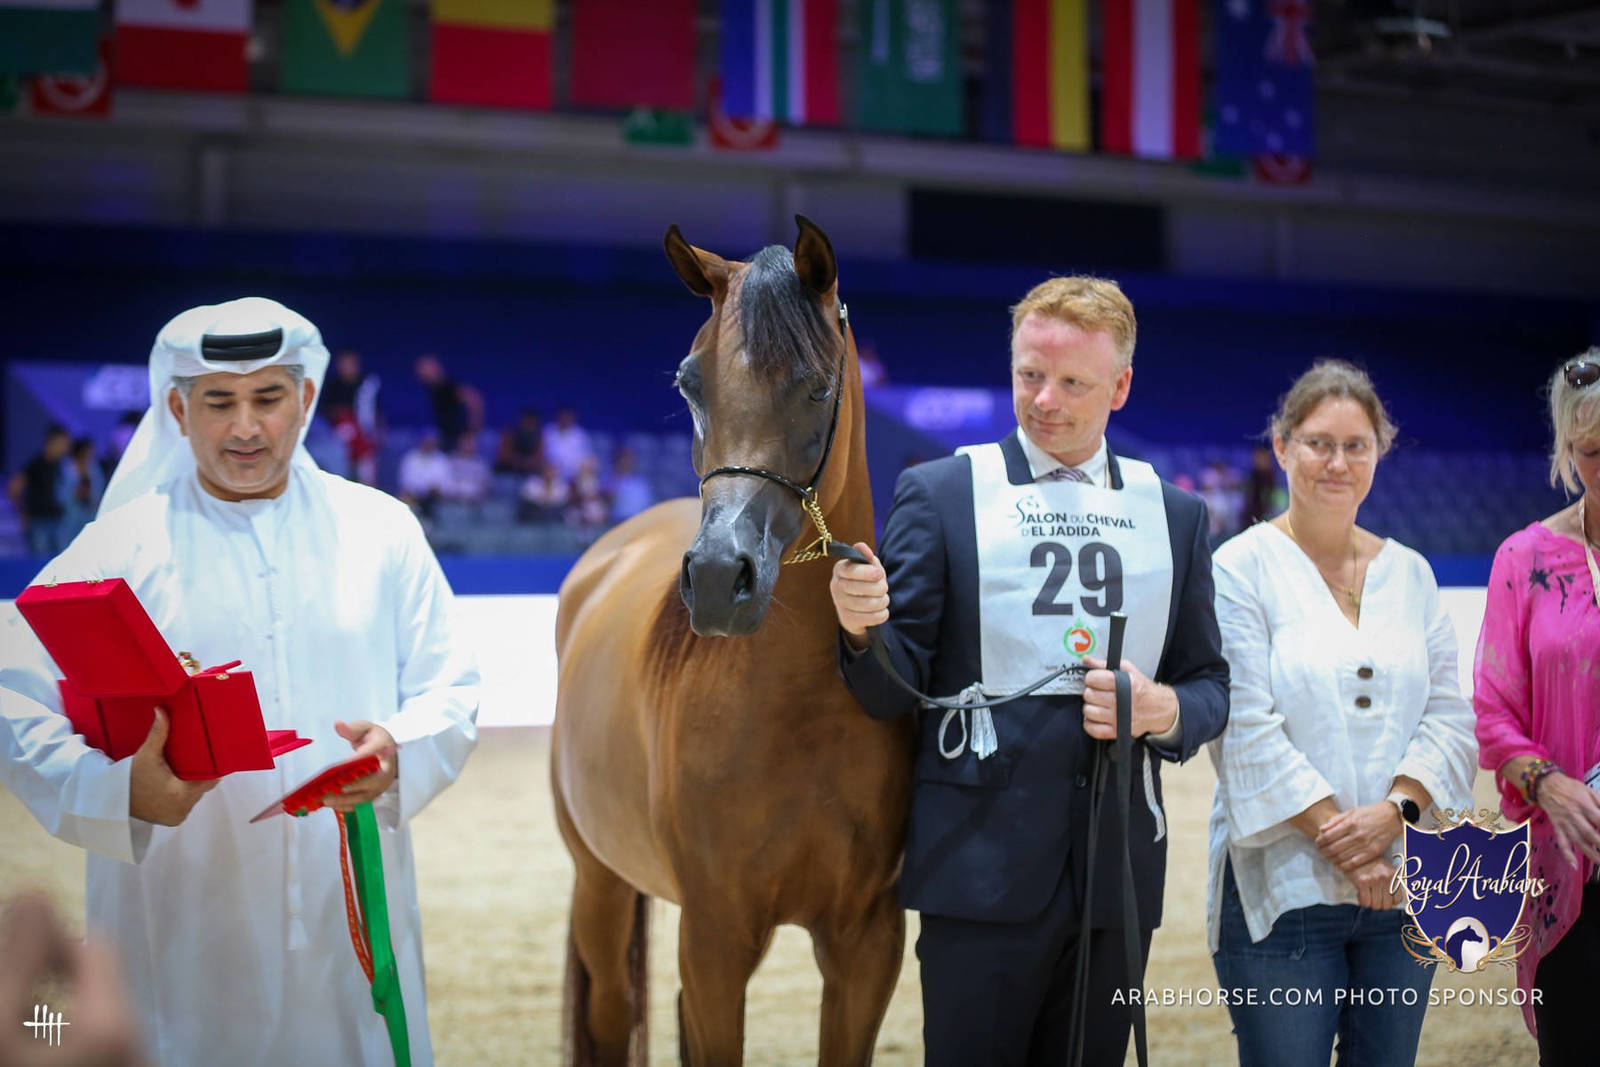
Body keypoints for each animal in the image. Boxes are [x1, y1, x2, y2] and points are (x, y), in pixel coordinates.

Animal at [551, 216, 911, 1067]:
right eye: (690, 384)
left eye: (817, 386)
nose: (718, 577)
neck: (798, 708)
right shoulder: (714, 939)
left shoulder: (866, 943)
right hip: (599, 883)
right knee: (610, 1012)